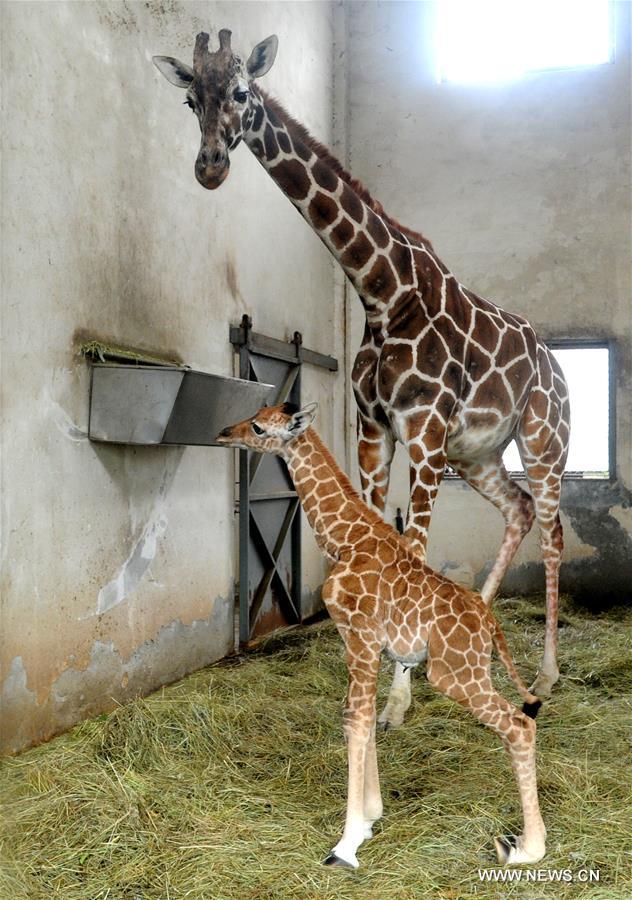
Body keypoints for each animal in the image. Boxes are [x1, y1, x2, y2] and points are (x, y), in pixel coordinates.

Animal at [154, 29, 572, 712]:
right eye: (192, 99)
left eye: (240, 91)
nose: (210, 166)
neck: (381, 291)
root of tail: (558, 368)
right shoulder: (374, 431)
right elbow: (382, 537)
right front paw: (387, 665)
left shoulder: (423, 434)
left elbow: (413, 546)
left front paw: (397, 698)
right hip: (478, 452)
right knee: (518, 510)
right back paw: (473, 626)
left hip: (543, 440)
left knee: (554, 529)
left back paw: (544, 675)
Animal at [216, 404, 544, 868]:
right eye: (254, 415)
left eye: (259, 427)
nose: (225, 433)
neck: (345, 539)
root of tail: (490, 624)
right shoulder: (361, 641)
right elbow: (365, 716)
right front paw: (371, 817)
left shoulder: (361, 635)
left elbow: (354, 719)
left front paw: (346, 842)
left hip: (454, 672)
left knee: (519, 724)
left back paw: (527, 848)